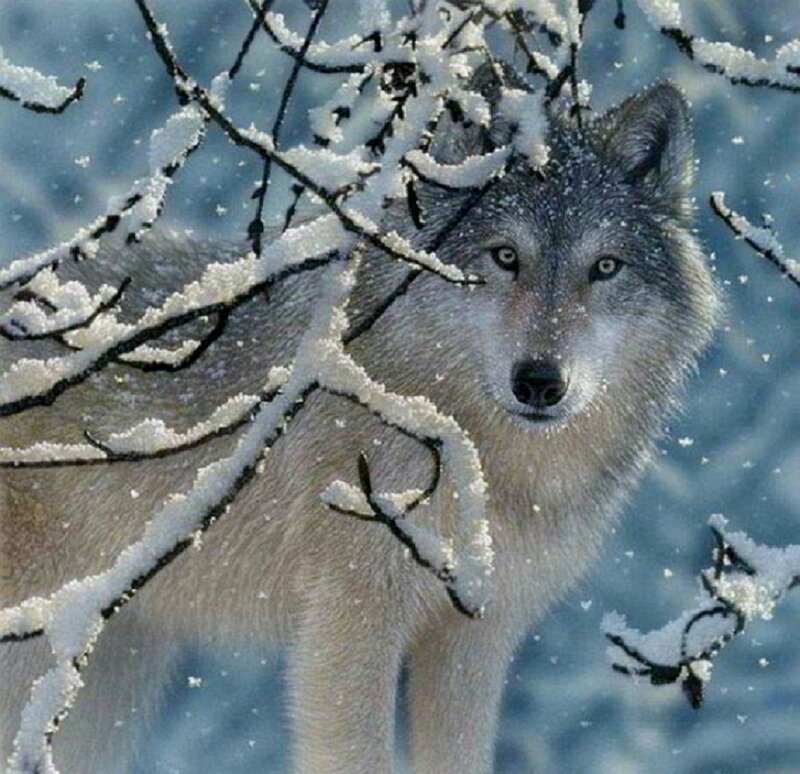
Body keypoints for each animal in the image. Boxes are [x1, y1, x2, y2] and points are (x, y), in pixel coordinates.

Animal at [0, 79, 719, 773]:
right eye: (505, 256)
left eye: (605, 267)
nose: (541, 381)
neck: (478, 456)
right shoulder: (352, 619)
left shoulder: (475, 637)